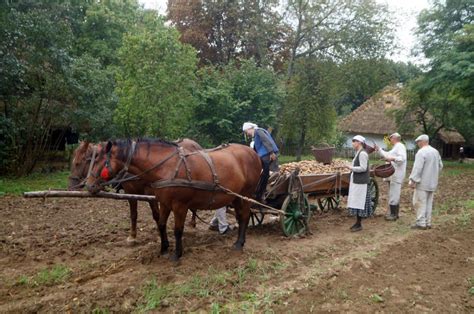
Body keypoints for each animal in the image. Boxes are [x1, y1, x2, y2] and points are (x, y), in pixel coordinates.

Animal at [69, 138, 203, 243]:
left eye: (78, 163)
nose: (70, 187)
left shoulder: (151, 193)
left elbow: (156, 215)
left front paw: (159, 235)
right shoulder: (130, 192)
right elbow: (133, 214)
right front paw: (132, 236)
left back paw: (192, 223)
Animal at [86, 139, 262, 260]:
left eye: (98, 160)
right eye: (90, 159)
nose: (88, 185)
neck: (166, 167)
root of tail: (253, 153)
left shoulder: (180, 206)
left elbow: (178, 230)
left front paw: (177, 254)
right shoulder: (164, 203)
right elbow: (161, 224)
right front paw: (163, 248)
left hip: (247, 195)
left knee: (245, 216)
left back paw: (239, 243)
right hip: (236, 196)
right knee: (240, 216)